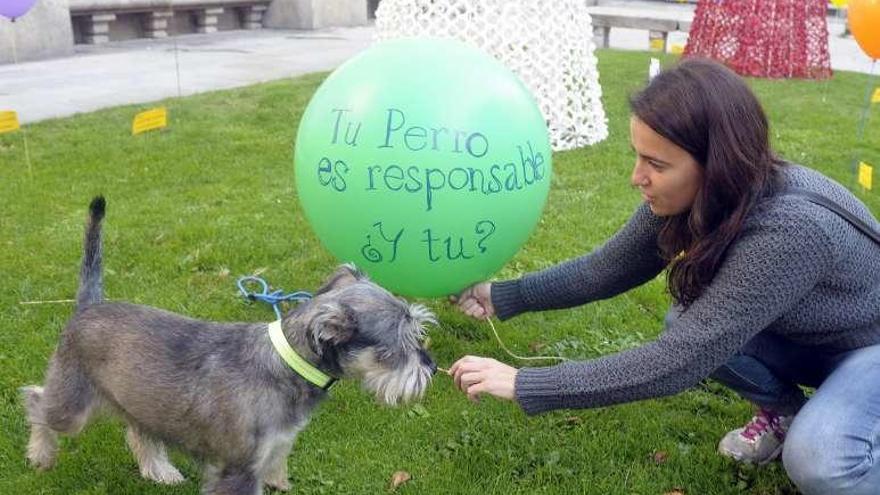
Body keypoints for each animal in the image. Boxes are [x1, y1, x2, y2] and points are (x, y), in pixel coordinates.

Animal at [19, 199, 434, 495]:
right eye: (400, 343)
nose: (430, 367)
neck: (287, 368)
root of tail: (89, 306)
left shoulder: (273, 451)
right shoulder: (237, 470)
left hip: (137, 398)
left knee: (137, 431)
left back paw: (160, 470)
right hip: (72, 406)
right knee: (35, 400)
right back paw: (40, 454)